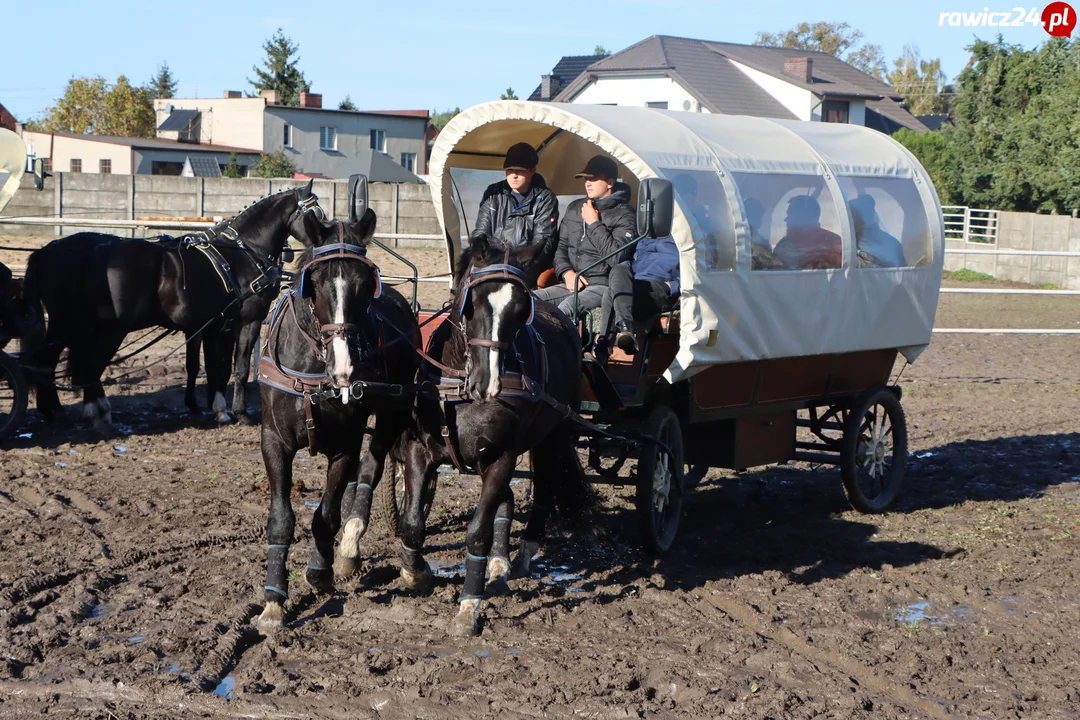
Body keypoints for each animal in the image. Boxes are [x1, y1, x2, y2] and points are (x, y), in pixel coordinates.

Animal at [23, 184, 321, 433]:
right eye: (315, 214)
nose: (323, 243)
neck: (243, 253)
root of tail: (47, 251)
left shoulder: (215, 326)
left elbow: (213, 368)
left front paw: (219, 409)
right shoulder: (248, 321)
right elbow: (238, 368)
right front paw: (239, 413)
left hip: (67, 324)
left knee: (49, 362)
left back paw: (55, 411)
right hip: (106, 328)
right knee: (89, 365)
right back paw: (98, 413)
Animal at [254, 208, 419, 630]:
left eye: (365, 283)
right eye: (315, 283)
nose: (344, 369)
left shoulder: (346, 443)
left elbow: (326, 515)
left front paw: (320, 570)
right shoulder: (273, 440)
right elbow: (281, 518)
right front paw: (273, 599)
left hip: (392, 412)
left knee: (372, 469)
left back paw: (349, 547)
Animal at [393, 236, 591, 634]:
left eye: (519, 309)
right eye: (471, 302)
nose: (488, 383)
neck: (460, 388)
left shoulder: (502, 457)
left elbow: (477, 532)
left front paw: (469, 604)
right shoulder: (420, 450)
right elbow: (413, 522)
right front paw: (415, 573)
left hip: (553, 439)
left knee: (542, 494)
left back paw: (522, 557)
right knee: (508, 501)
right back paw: (500, 565)